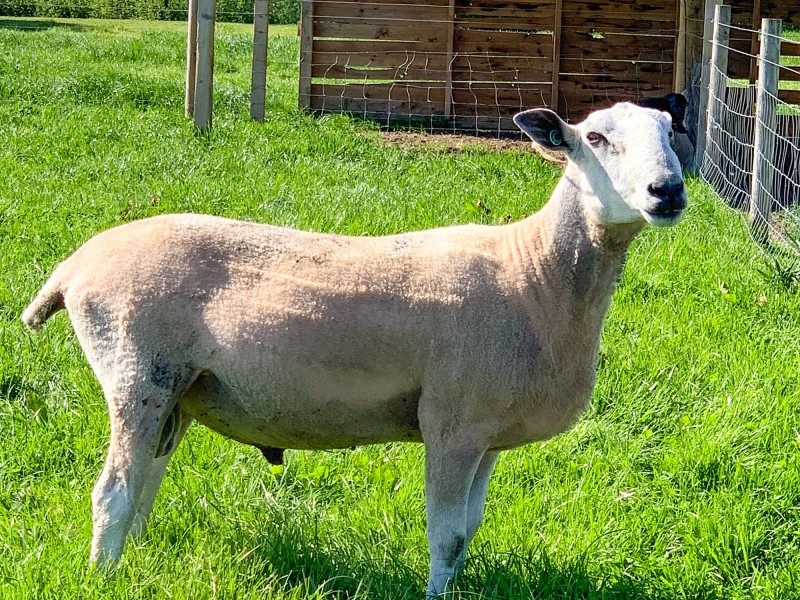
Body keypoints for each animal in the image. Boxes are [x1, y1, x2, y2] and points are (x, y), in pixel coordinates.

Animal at [22, 102, 686, 597]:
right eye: (594, 138)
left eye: (670, 130)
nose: (669, 190)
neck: (535, 274)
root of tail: (74, 266)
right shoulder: (451, 425)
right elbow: (446, 536)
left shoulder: (488, 433)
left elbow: (468, 532)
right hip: (136, 370)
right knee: (113, 492)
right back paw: (103, 577)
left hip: (178, 392)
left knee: (144, 483)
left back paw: (132, 563)